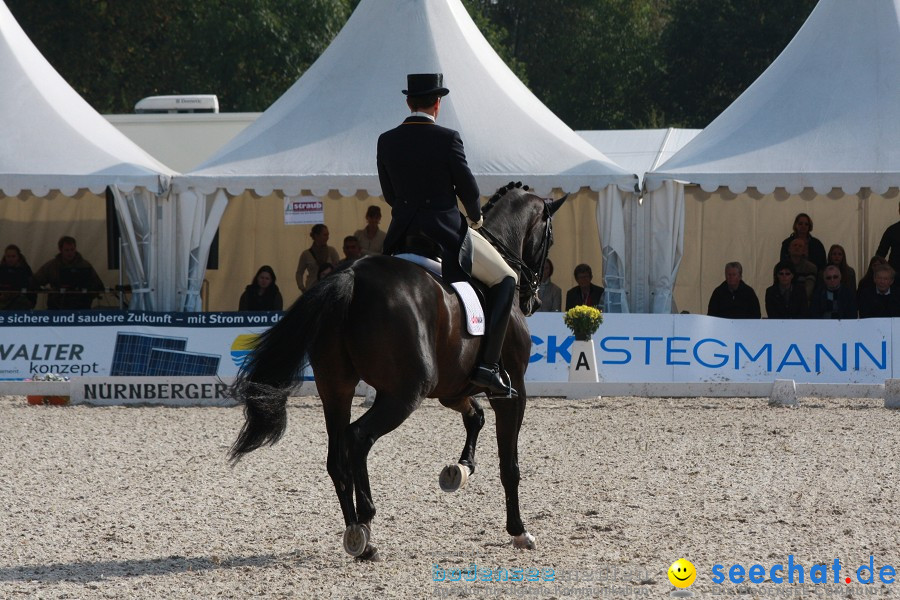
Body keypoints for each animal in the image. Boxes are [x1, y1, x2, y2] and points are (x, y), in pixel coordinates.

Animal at [232, 184, 568, 564]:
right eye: (550, 238)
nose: (533, 301)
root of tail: (353, 277)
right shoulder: (512, 392)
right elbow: (509, 465)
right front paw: (519, 531)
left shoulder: (452, 389)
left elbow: (475, 417)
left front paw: (460, 470)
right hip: (404, 394)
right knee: (358, 437)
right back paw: (365, 524)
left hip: (336, 388)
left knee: (337, 456)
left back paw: (358, 537)